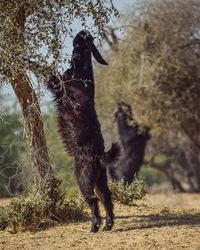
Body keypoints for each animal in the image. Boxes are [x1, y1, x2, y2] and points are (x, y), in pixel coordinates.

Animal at [46, 30, 119, 232]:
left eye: (83, 39)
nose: (80, 33)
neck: (81, 72)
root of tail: (100, 155)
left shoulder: (59, 88)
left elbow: (48, 74)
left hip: (83, 178)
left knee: (92, 199)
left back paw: (95, 225)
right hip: (100, 180)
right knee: (106, 198)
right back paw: (108, 224)